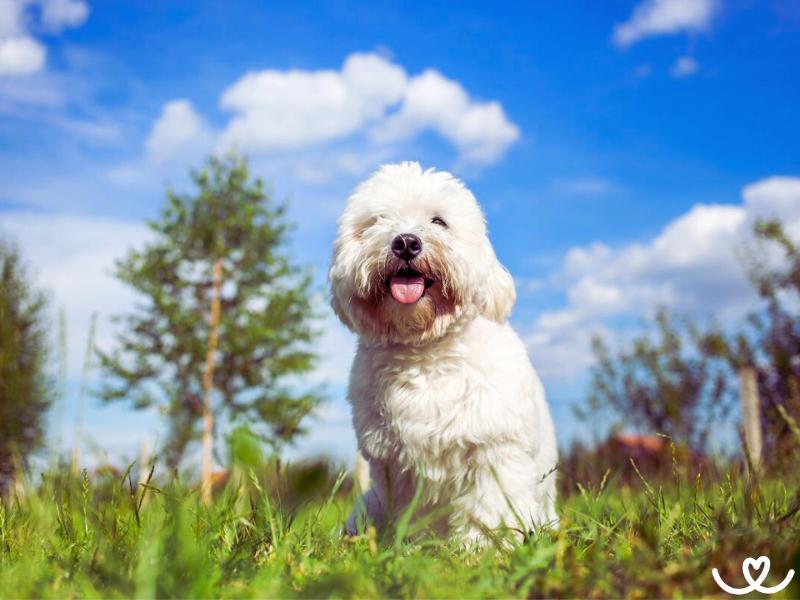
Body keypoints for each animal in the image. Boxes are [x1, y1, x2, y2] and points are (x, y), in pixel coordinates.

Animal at [328, 161, 560, 544]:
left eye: (439, 221)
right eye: (377, 220)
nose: (406, 242)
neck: (424, 352)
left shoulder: (493, 450)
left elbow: (489, 510)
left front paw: (482, 547)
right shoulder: (397, 465)